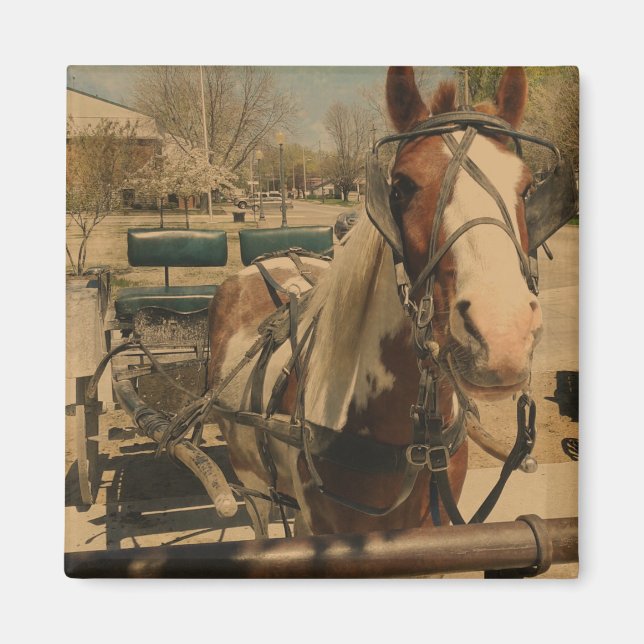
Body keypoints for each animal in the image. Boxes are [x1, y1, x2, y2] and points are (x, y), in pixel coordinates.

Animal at [207, 66, 543, 538]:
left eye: (528, 188)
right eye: (400, 187)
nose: (501, 335)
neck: (406, 443)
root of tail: (267, 262)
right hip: (248, 481)